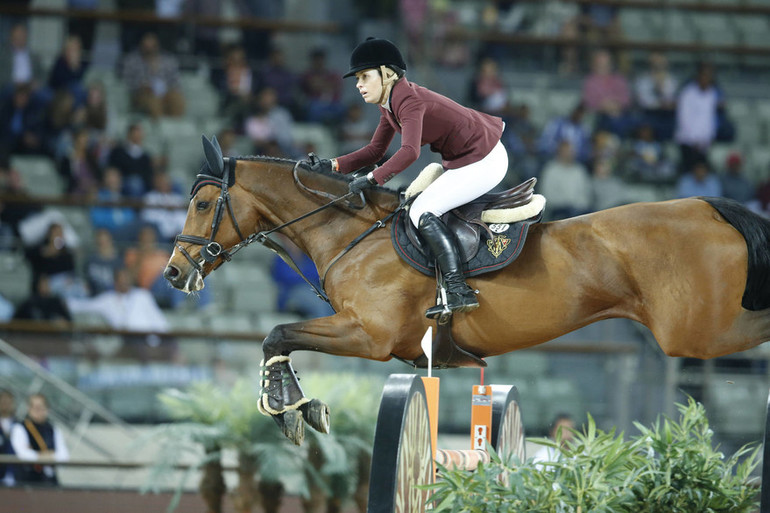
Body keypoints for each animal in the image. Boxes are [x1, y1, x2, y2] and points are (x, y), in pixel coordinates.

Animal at [165, 136, 768, 444]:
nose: (172, 273)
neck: (348, 229)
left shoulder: (368, 336)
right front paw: (296, 406)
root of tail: (711, 208)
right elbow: (279, 336)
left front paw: (287, 406)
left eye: (202, 203)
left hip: (698, 330)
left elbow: (277, 332)